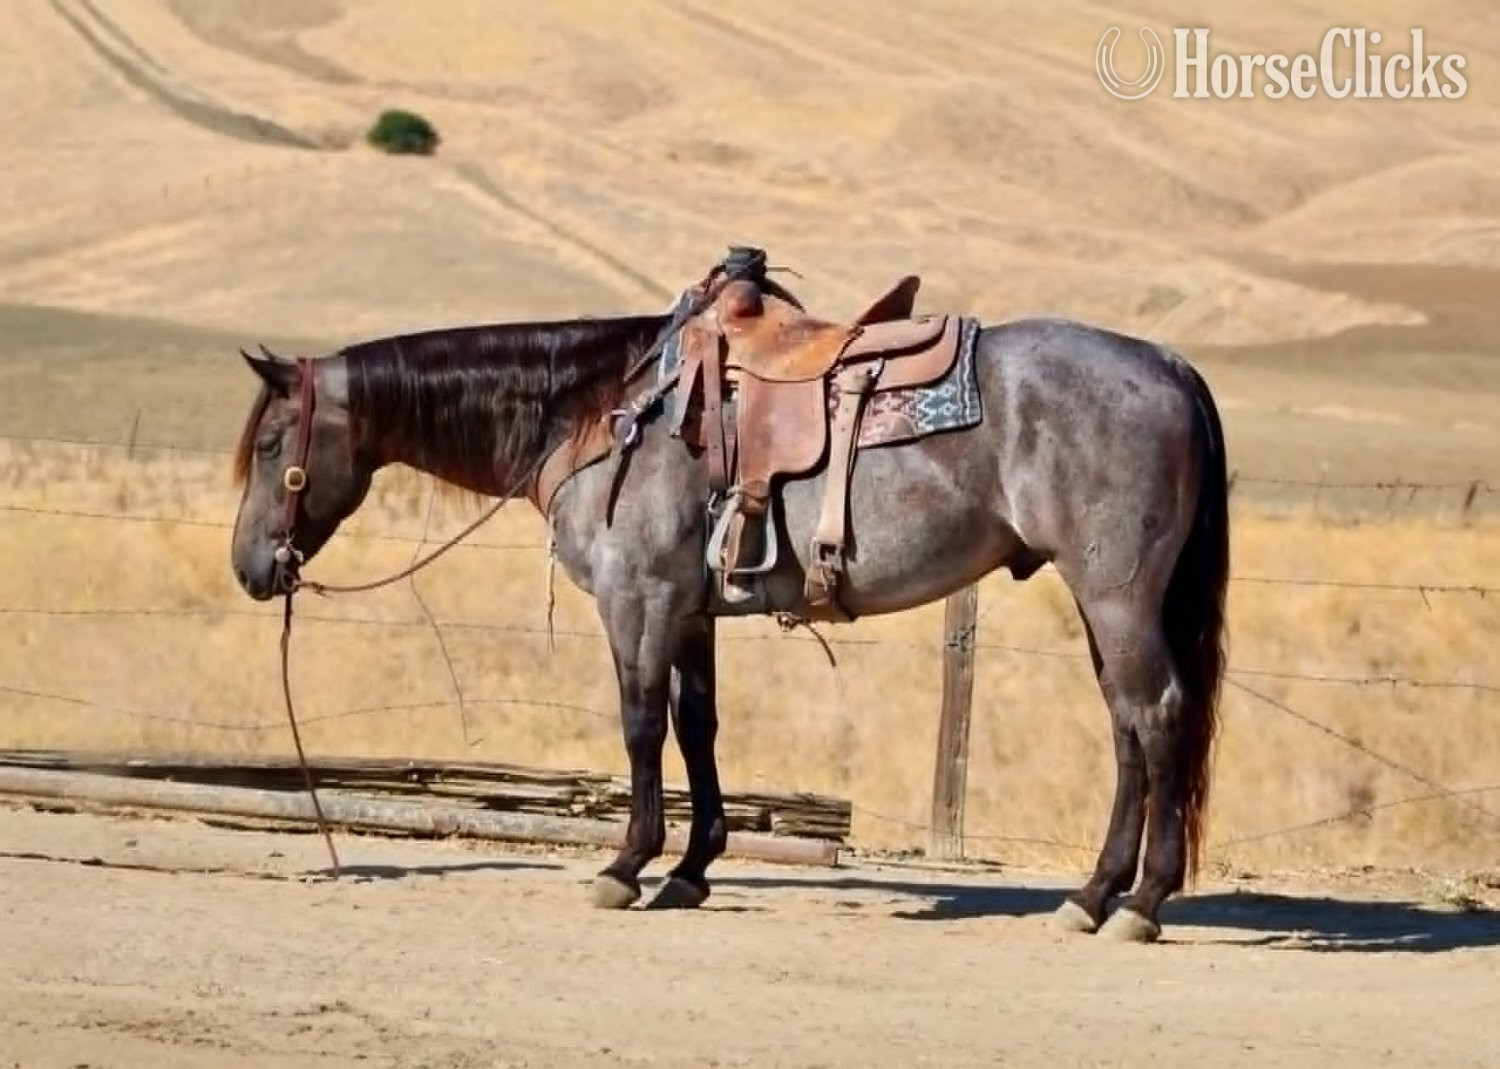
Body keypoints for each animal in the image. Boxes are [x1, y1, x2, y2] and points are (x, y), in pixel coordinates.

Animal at [228, 251, 1229, 944]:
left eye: (274, 440)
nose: (249, 568)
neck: (601, 409)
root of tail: (1170, 364)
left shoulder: (636, 600)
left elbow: (640, 724)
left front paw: (627, 863)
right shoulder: (690, 610)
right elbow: (697, 726)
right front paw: (691, 867)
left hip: (1117, 598)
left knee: (1156, 713)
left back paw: (1141, 901)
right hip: (1105, 605)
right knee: (1127, 727)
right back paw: (1092, 894)